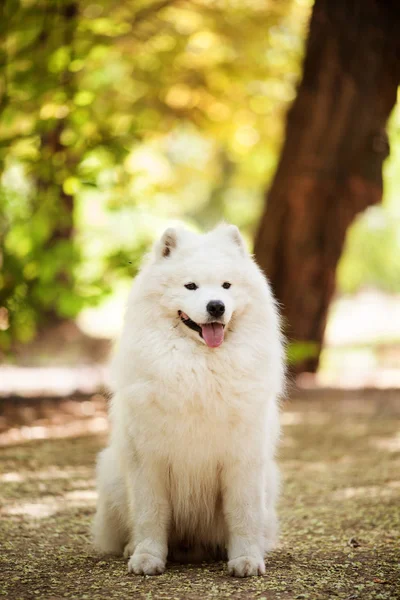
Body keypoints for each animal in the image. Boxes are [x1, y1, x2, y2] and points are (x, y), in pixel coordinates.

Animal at [93, 224, 284, 576]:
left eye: (226, 285)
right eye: (190, 286)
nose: (216, 306)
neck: (199, 368)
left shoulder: (242, 458)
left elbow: (243, 514)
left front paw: (246, 559)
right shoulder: (149, 459)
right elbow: (151, 513)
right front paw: (147, 558)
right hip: (113, 474)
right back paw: (132, 547)